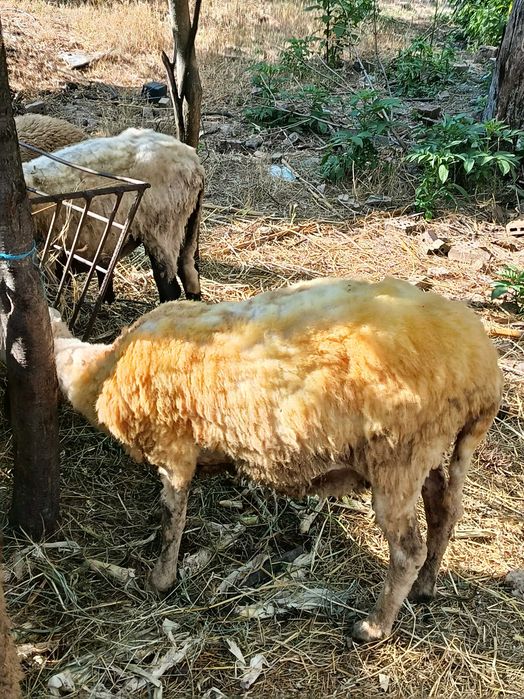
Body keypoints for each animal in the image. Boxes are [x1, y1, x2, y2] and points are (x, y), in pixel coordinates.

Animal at [48, 276, 503, 643]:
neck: (98, 370)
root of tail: (483, 370)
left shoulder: (174, 452)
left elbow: (171, 519)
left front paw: (160, 580)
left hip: (399, 457)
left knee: (409, 549)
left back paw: (374, 626)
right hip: (424, 450)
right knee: (444, 508)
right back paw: (426, 587)